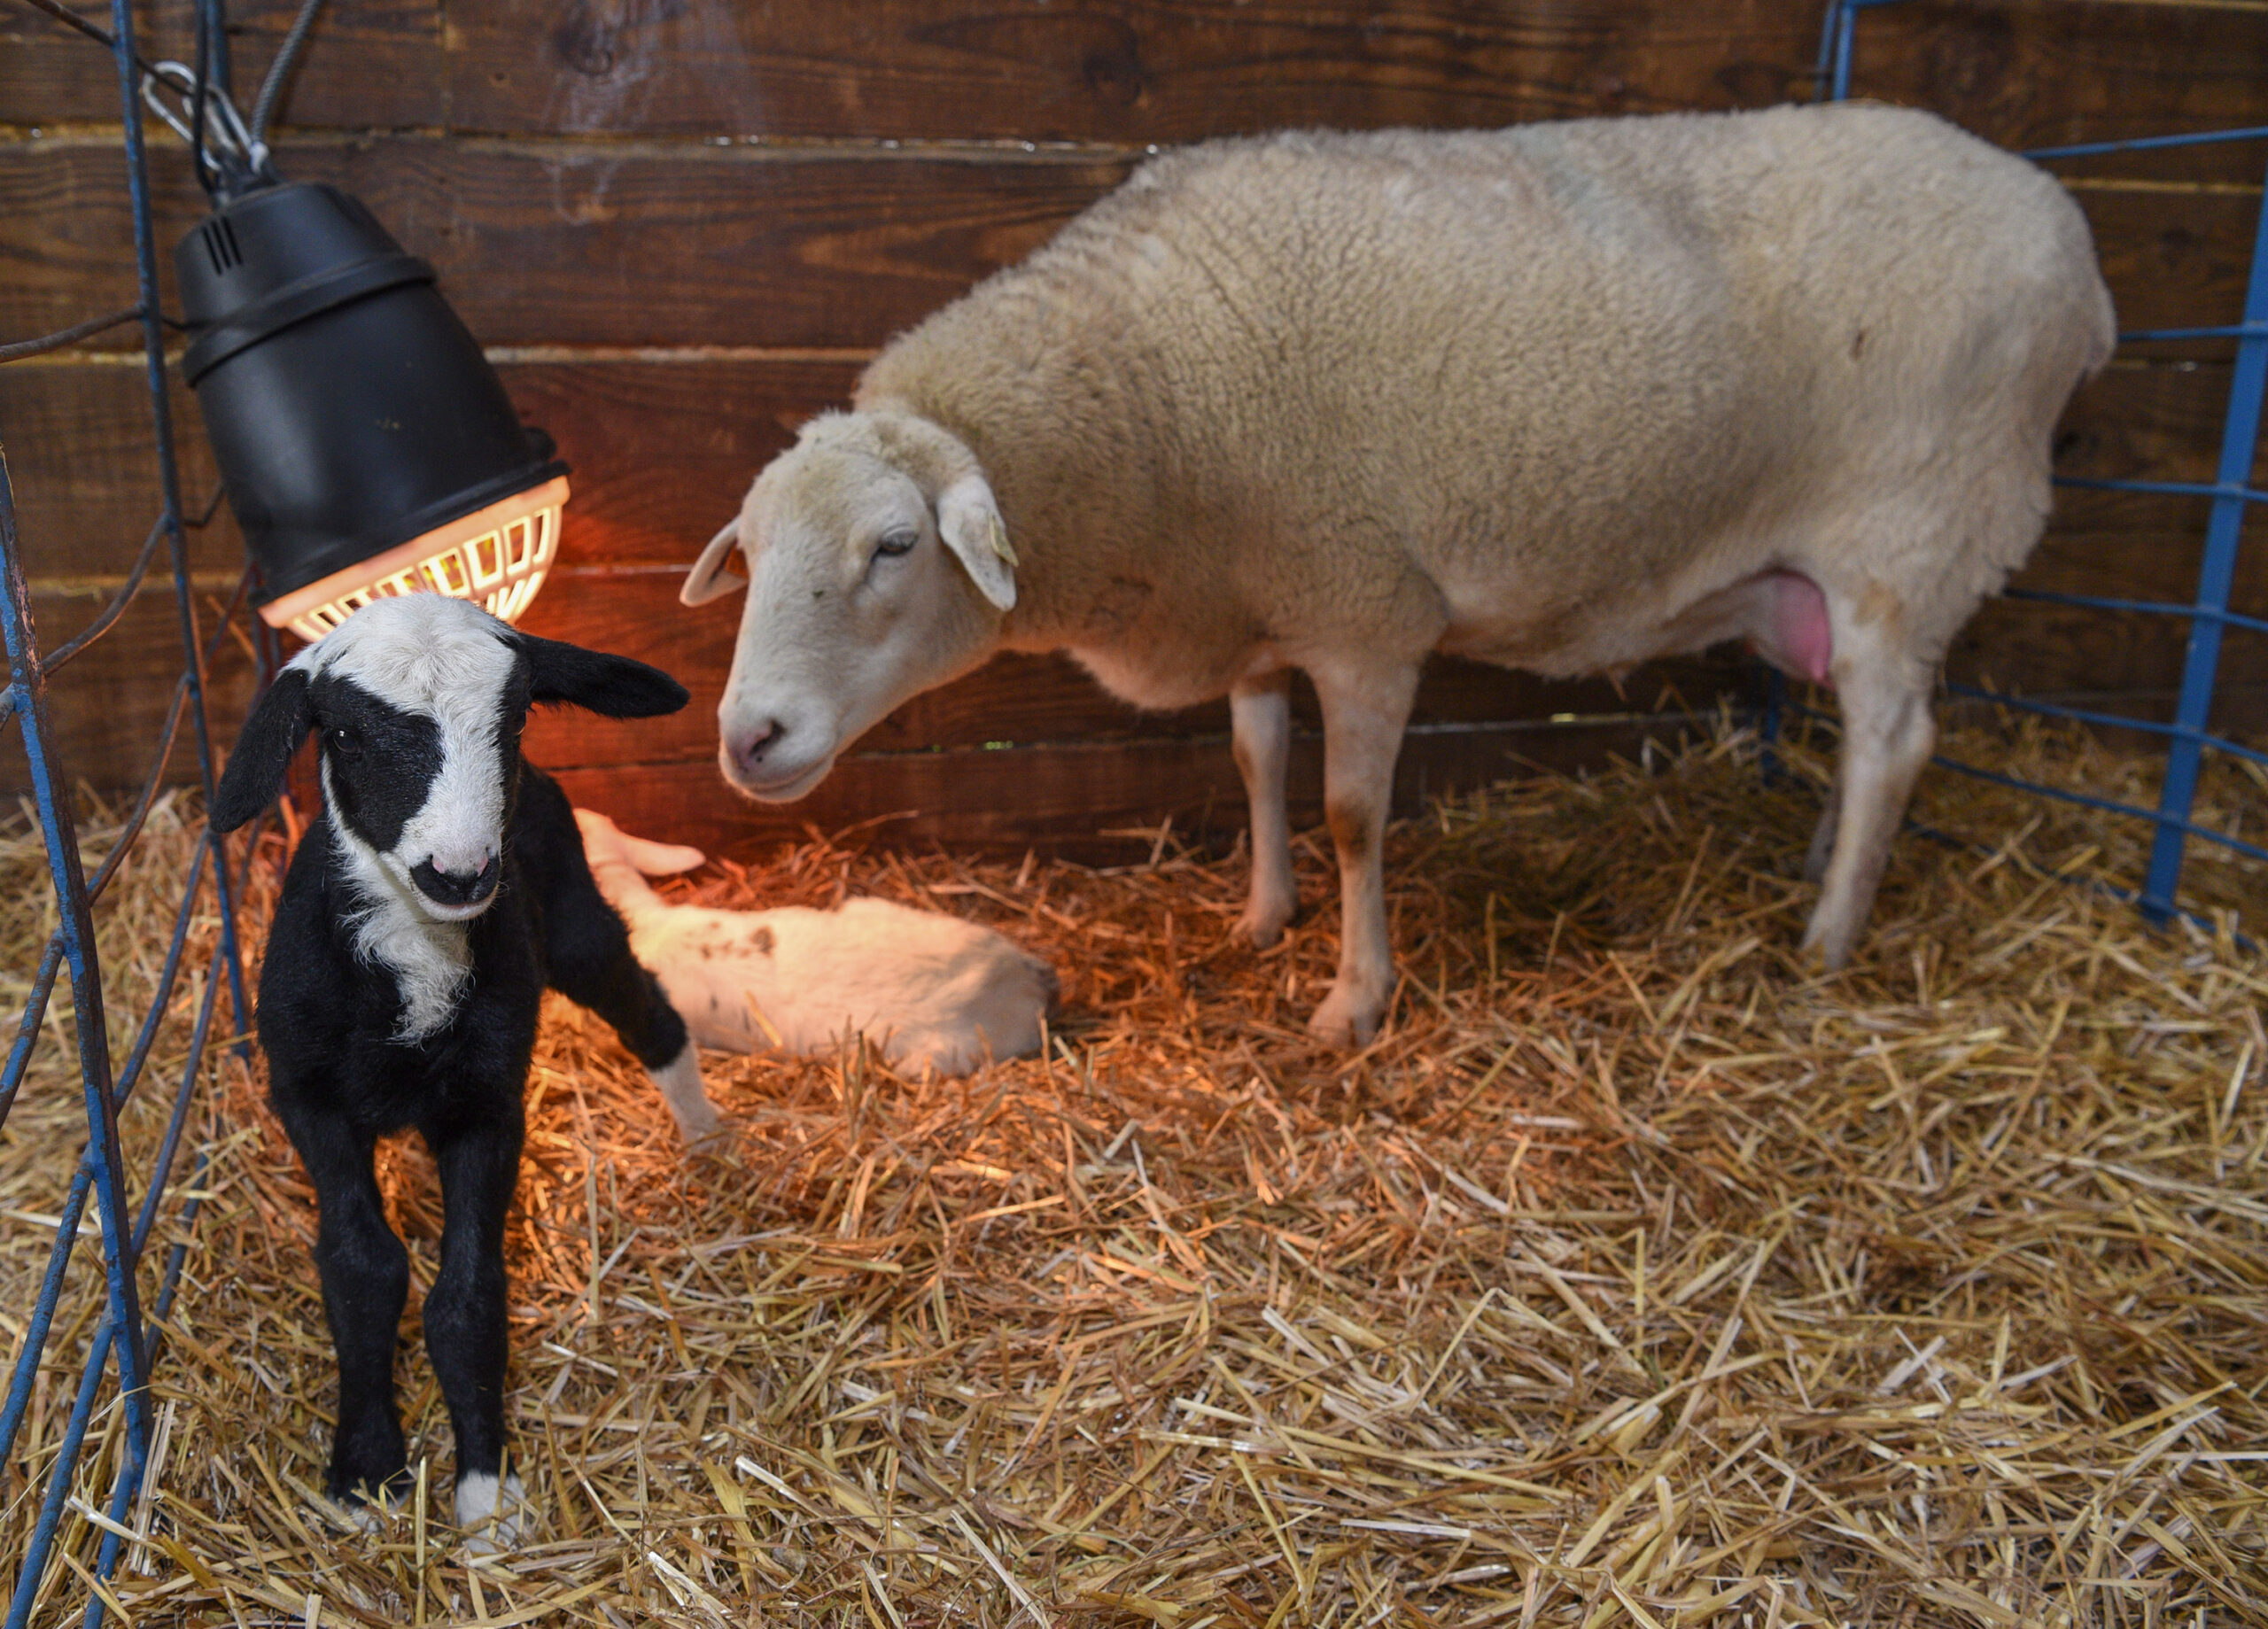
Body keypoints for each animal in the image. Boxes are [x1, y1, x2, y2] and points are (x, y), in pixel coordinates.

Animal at [208, 594, 717, 1547]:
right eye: (346, 732)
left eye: (514, 719)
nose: (462, 872)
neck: (416, 947)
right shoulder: (308, 1097)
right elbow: (361, 1267)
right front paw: (366, 1470)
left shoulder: (488, 1105)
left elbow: (469, 1293)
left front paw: (485, 1485)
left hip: (576, 920)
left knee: (649, 1013)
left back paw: (708, 1136)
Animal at [680, 102, 2116, 1044]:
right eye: (750, 550)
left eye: (894, 545)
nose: (749, 737)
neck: (1149, 407)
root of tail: (2073, 248)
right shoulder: (1259, 603)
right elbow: (1256, 762)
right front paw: (1262, 917)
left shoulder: (1366, 610)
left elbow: (1354, 813)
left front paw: (1351, 998)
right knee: (1871, 731)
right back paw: (1824, 868)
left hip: (1911, 532)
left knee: (1897, 738)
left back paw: (1827, 937)